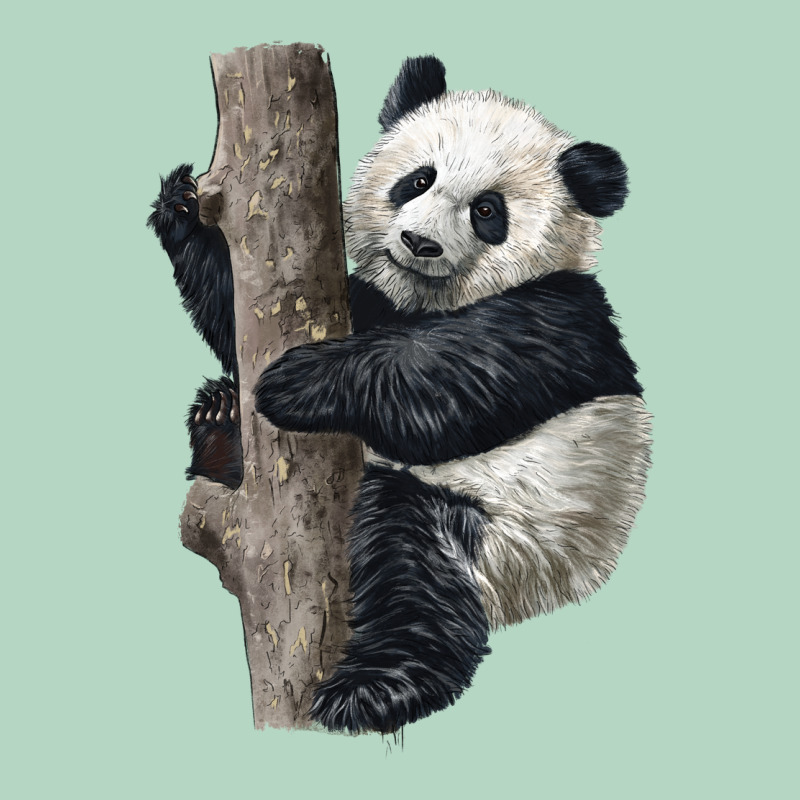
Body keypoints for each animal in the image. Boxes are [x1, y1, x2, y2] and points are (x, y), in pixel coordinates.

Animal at [149, 55, 651, 735]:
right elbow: (237, 319)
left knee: (410, 566)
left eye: (487, 211)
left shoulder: (558, 319)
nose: (420, 244)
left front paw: (296, 381)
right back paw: (218, 426)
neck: (430, 300)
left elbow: (443, 387)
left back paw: (372, 692)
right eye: (418, 180)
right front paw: (180, 208)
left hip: (509, 535)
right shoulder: (373, 302)